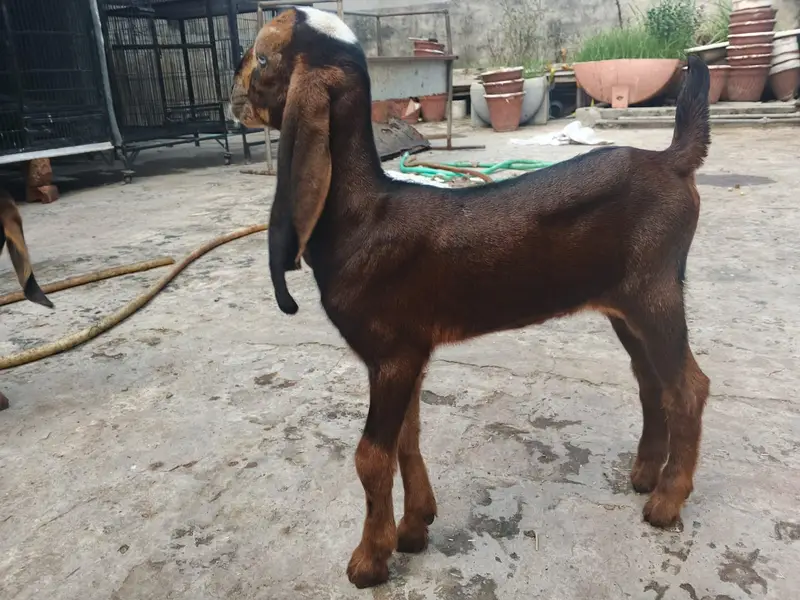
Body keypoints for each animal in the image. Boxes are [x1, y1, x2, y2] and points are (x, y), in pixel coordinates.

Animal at [230, 7, 711, 589]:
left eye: (262, 57)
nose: (231, 95)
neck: (365, 213)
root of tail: (673, 161)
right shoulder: (409, 354)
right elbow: (407, 436)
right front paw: (415, 527)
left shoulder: (392, 352)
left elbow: (371, 455)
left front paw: (370, 559)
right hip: (625, 306)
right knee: (651, 381)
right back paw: (644, 474)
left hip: (655, 292)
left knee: (688, 387)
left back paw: (665, 502)